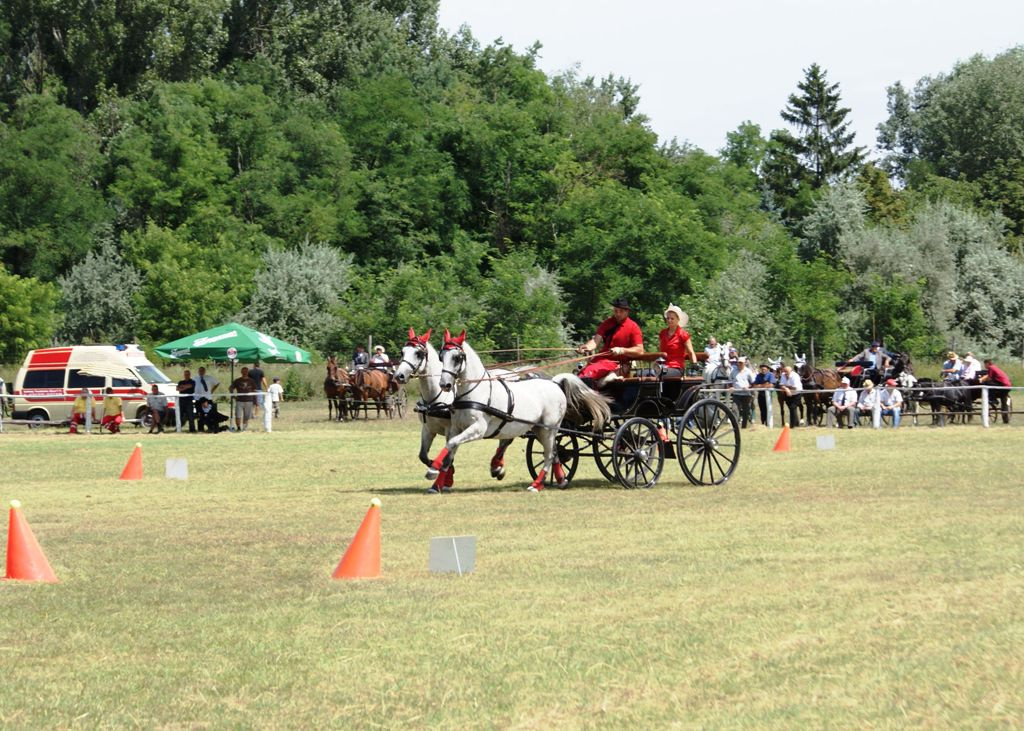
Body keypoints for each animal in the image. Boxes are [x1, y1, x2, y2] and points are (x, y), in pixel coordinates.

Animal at [432, 329, 606, 489]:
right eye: (441, 357)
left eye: (457, 357)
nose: (445, 384)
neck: (474, 392)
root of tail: (556, 383)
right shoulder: (456, 428)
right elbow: (450, 452)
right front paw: (437, 483)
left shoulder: (478, 429)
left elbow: (451, 444)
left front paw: (433, 469)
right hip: (538, 429)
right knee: (555, 452)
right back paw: (561, 479)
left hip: (549, 429)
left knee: (550, 454)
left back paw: (536, 484)